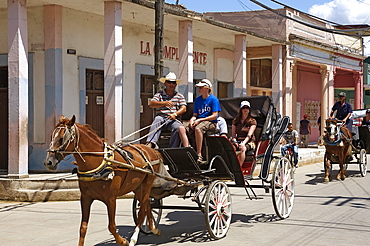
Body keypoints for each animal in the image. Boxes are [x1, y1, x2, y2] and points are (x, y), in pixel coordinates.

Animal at [44, 116, 163, 246]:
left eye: (62, 139)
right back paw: (153, 228)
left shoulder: (111, 199)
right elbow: (83, 228)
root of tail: (151, 150)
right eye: (51, 136)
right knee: (147, 204)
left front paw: (123, 241)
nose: (48, 162)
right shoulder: (85, 198)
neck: (98, 163)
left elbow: (112, 226)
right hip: (137, 186)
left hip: (147, 183)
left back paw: (133, 239)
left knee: (142, 211)